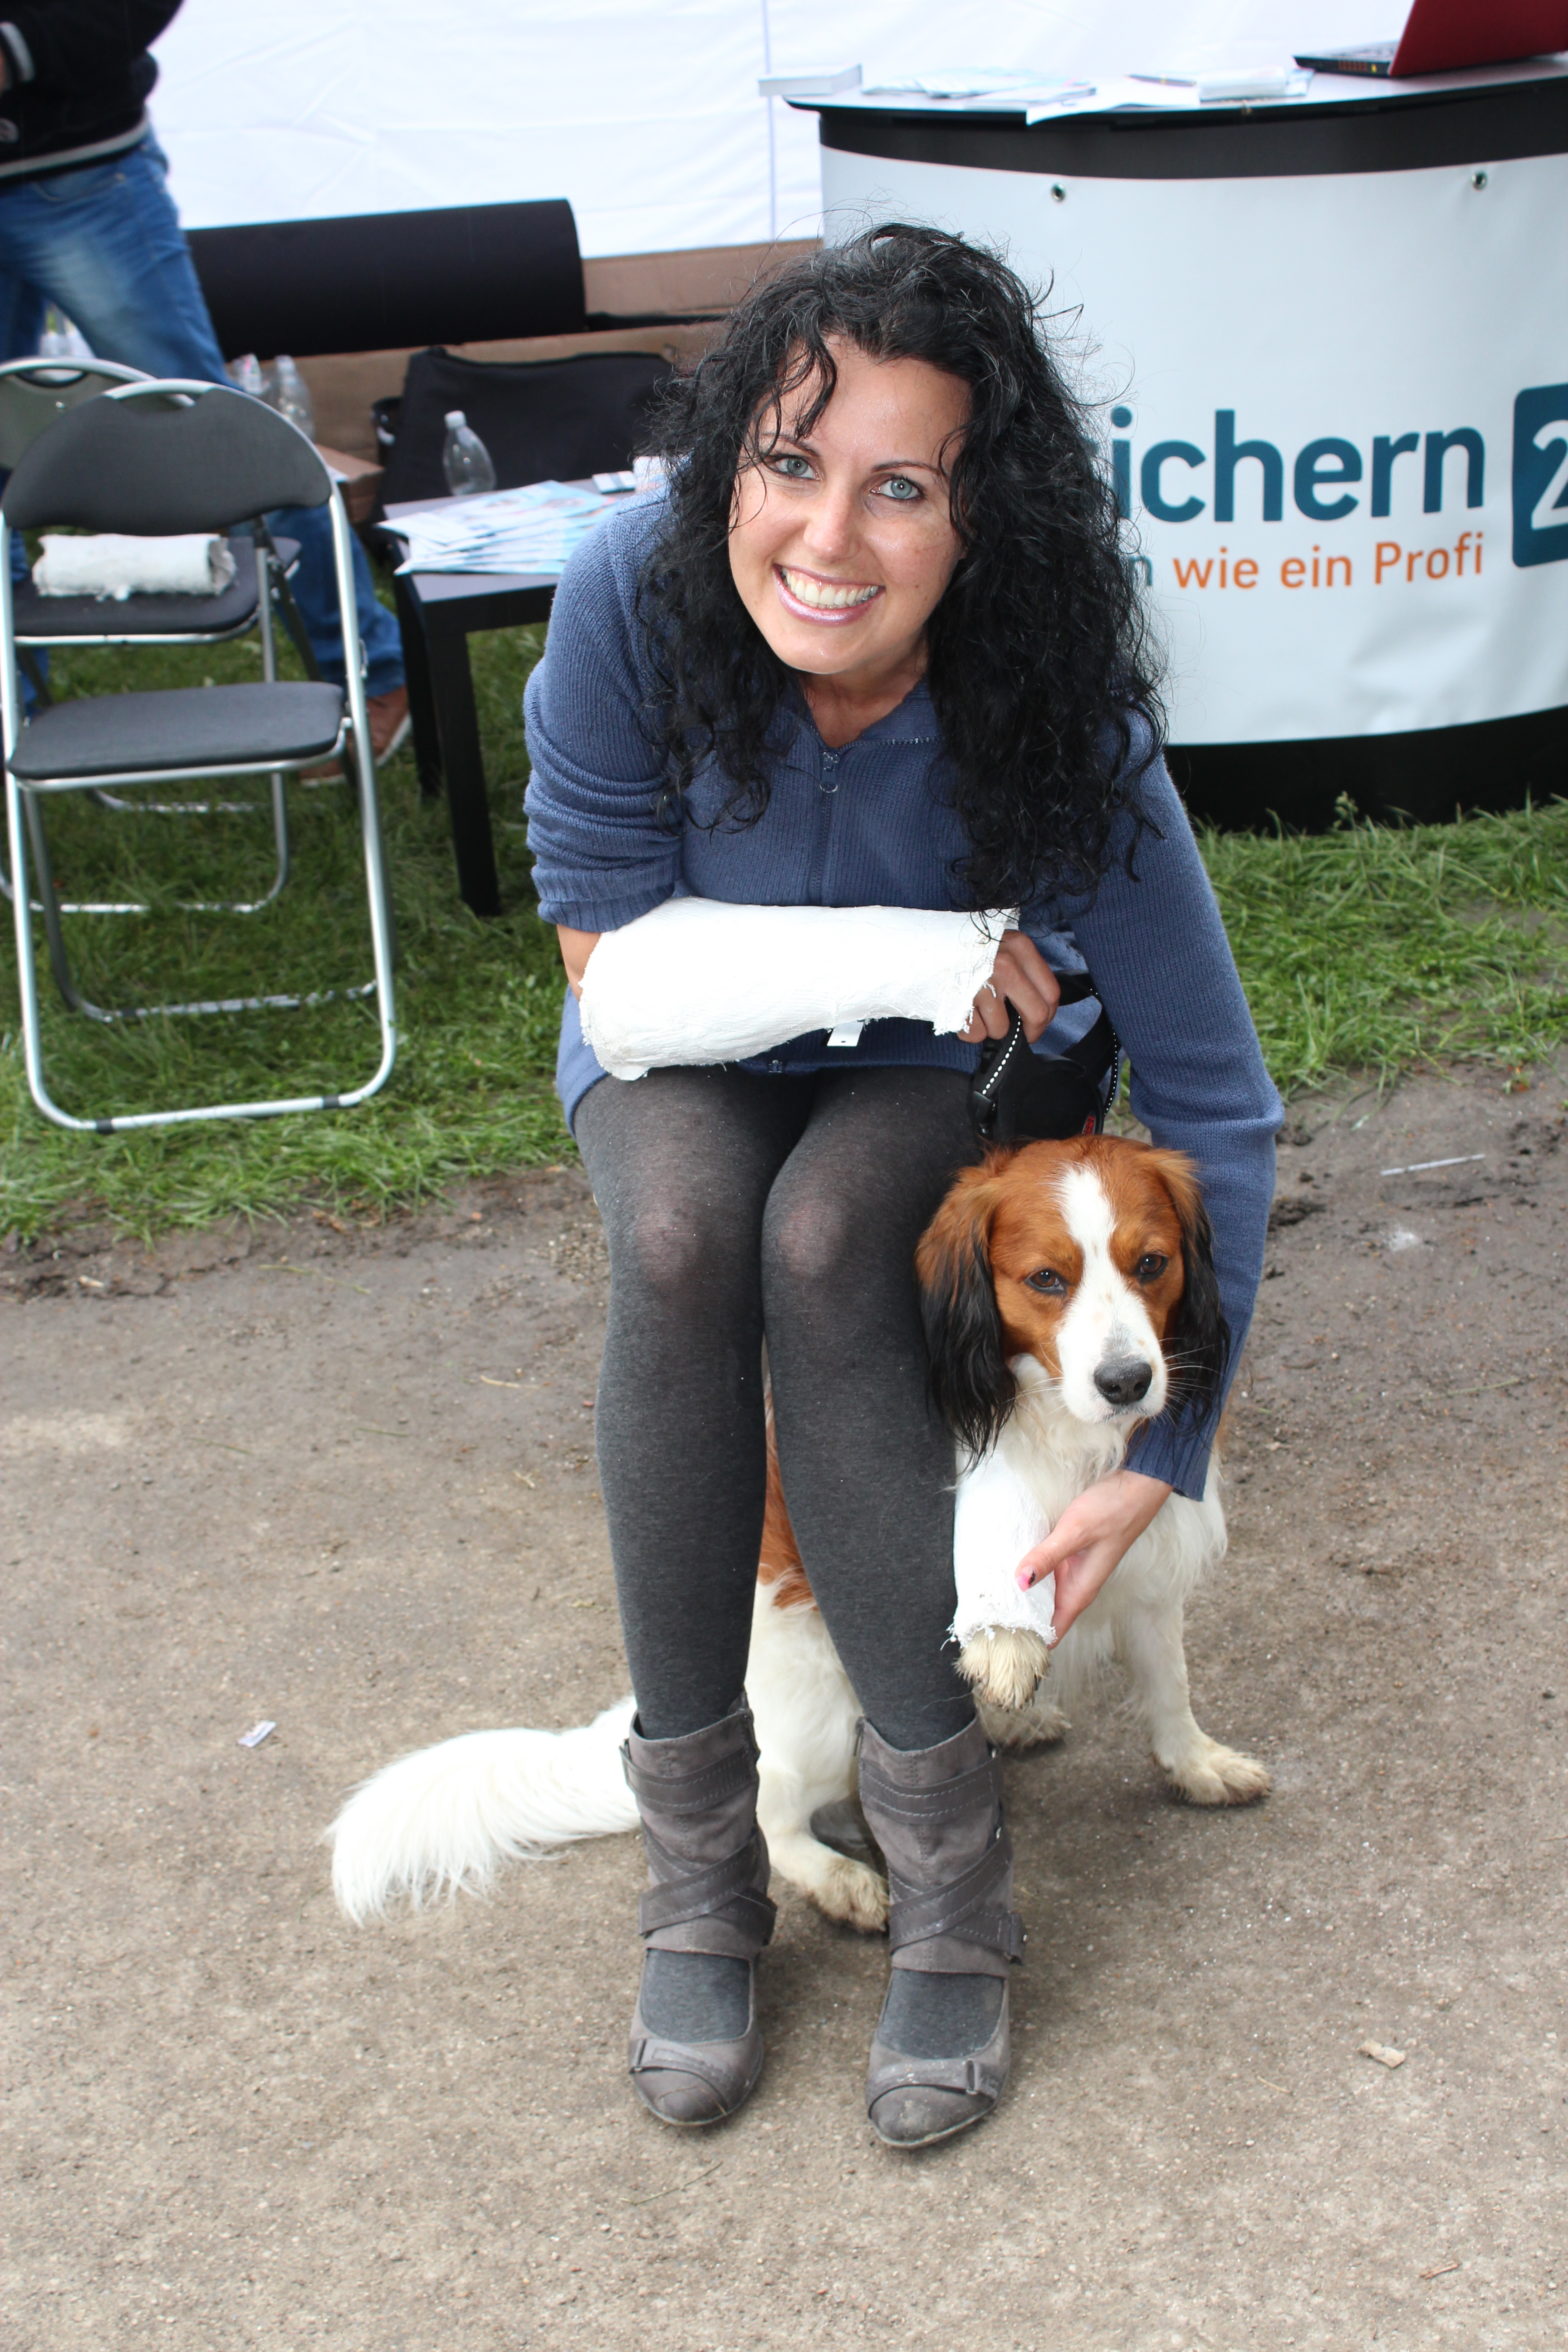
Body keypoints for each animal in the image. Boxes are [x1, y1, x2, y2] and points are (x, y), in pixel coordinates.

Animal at [328, 1134, 1268, 1933]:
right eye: (1046, 1279)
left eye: (1152, 1264)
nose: (1128, 1382)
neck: (1067, 1431)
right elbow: (999, 1540)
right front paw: (1006, 1634)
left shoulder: (1143, 1566)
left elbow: (1170, 1689)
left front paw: (1195, 1764)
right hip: (823, 1716)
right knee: (768, 1811)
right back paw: (840, 1877)